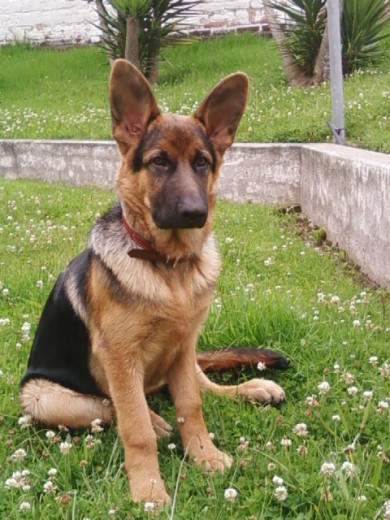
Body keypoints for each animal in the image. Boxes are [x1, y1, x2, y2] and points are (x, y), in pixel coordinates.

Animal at [20, 60, 290, 504]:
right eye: (159, 162)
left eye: (202, 162)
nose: (195, 212)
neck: (168, 268)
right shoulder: (119, 357)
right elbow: (135, 428)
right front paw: (148, 485)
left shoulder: (183, 347)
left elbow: (192, 406)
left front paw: (205, 456)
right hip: (41, 395)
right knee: (110, 406)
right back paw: (155, 419)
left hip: (180, 357)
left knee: (202, 384)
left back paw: (252, 389)